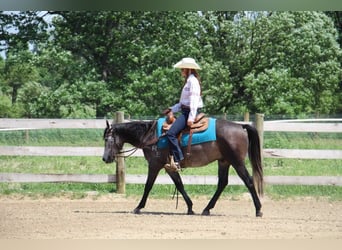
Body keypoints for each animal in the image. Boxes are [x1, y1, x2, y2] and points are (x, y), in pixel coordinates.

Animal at [103, 117, 264, 217]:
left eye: (108, 140)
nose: (105, 158)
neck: (151, 136)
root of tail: (240, 126)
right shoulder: (169, 167)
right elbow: (179, 184)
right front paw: (190, 207)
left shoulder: (154, 165)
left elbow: (148, 186)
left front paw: (138, 207)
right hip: (224, 161)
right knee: (222, 183)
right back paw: (207, 209)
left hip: (237, 162)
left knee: (249, 181)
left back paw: (258, 210)